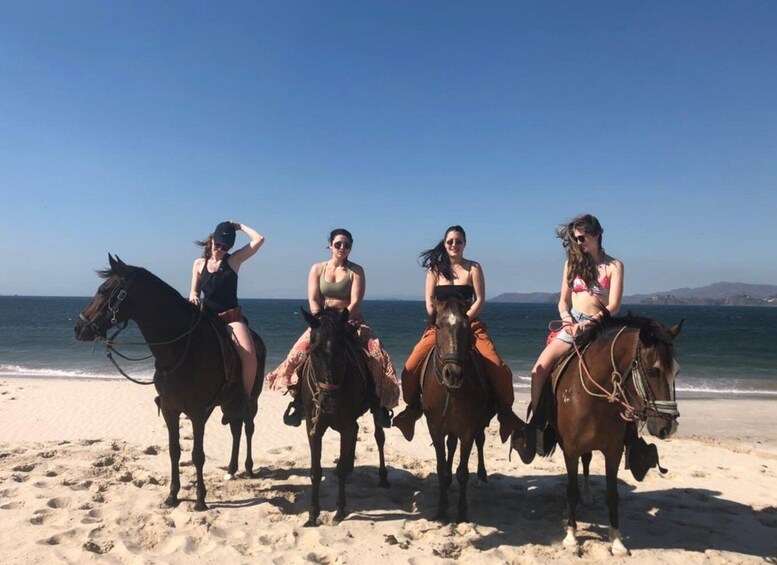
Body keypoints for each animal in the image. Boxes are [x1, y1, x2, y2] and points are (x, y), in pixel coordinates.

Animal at [74, 256, 266, 512]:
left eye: (104, 290)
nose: (79, 328)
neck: (181, 347)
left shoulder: (197, 412)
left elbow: (197, 455)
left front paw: (200, 499)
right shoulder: (169, 409)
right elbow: (174, 451)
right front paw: (173, 495)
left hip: (251, 399)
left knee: (248, 427)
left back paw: (248, 467)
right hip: (228, 402)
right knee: (235, 428)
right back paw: (232, 469)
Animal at [298, 306, 388, 528]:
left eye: (342, 350)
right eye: (313, 351)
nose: (328, 403)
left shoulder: (345, 426)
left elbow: (338, 469)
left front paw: (339, 510)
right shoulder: (313, 426)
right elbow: (315, 471)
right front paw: (312, 515)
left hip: (375, 410)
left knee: (379, 438)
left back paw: (383, 478)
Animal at [422, 298, 494, 524]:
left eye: (466, 327)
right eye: (438, 326)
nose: (453, 374)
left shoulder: (468, 430)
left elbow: (463, 472)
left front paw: (462, 512)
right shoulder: (435, 428)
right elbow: (440, 467)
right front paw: (441, 509)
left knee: (480, 441)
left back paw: (482, 475)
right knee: (451, 446)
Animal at [540, 312, 680, 556]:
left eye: (677, 371)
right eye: (652, 370)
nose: (668, 427)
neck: (593, 396)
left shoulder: (613, 451)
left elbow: (612, 495)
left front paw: (617, 541)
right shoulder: (571, 450)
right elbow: (571, 490)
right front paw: (571, 537)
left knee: (587, 463)